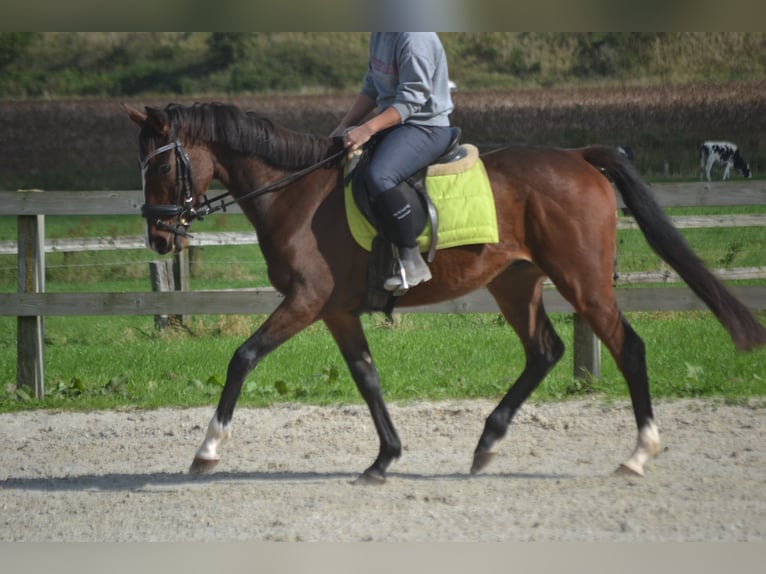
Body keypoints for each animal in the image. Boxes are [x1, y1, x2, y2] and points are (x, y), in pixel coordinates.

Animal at [123, 101, 764, 484]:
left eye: (161, 168)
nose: (158, 237)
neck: (294, 194)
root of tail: (578, 157)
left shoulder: (306, 302)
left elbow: (243, 356)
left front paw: (207, 452)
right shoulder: (336, 312)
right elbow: (367, 377)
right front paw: (384, 459)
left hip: (582, 281)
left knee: (627, 348)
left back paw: (637, 454)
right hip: (515, 282)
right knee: (545, 351)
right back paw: (487, 444)